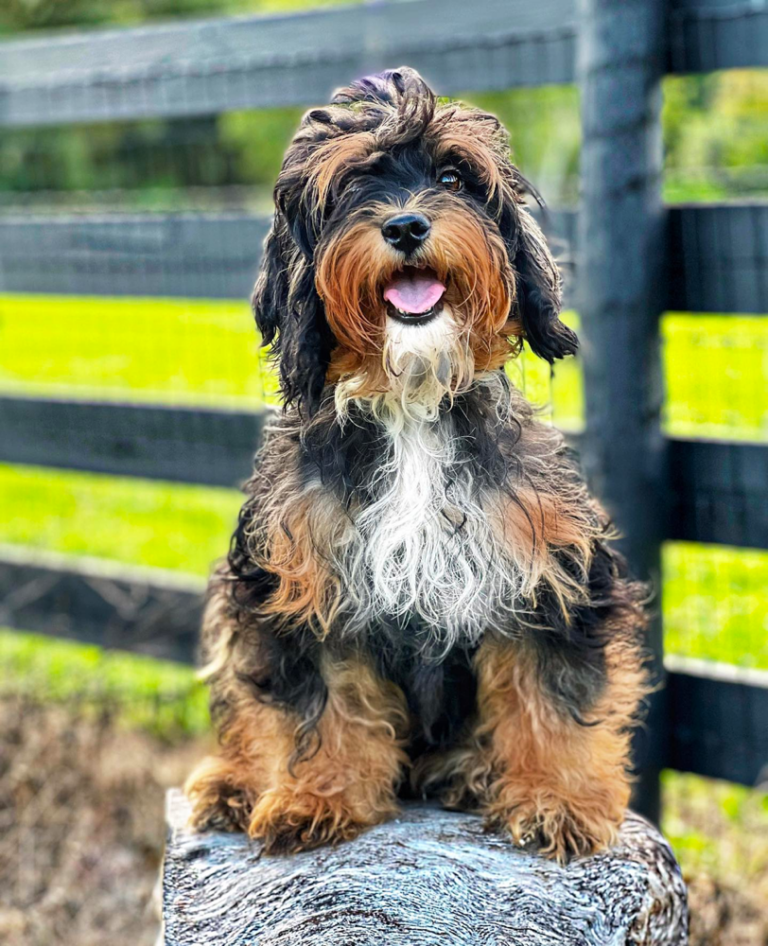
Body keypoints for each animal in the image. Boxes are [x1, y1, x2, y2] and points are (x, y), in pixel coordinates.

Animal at [186, 68, 648, 864]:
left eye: (452, 177)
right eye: (349, 187)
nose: (405, 227)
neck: (411, 404)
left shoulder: (548, 574)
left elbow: (551, 694)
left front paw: (556, 799)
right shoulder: (304, 587)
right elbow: (323, 704)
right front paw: (315, 797)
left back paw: (469, 773)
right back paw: (235, 782)